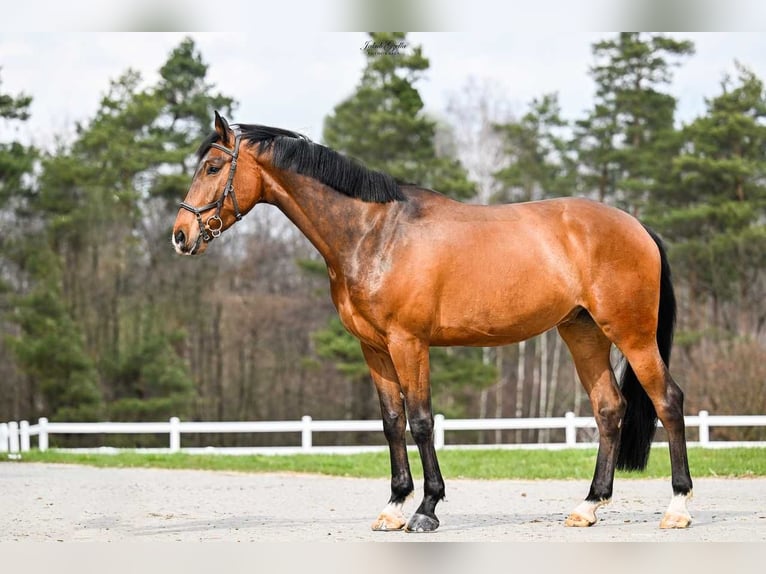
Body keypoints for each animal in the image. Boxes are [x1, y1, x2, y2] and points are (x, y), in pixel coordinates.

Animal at [172, 113, 696, 536]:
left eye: (213, 167)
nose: (181, 235)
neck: (375, 233)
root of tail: (638, 227)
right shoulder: (374, 348)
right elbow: (392, 423)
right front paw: (393, 507)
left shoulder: (409, 343)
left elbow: (422, 421)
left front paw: (426, 509)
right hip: (582, 331)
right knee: (609, 409)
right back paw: (588, 506)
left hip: (631, 334)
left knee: (668, 402)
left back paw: (678, 506)